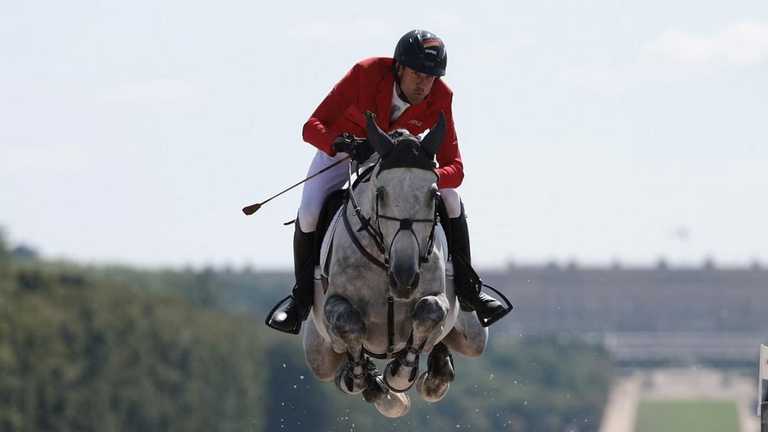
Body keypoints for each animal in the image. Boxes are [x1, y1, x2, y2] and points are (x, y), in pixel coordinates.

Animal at [302, 112, 488, 418]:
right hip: (318, 352)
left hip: (474, 334)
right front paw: (369, 379)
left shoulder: (437, 298)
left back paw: (436, 374)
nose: (404, 279)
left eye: (433, 195)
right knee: (335, 366)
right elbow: (348, 323)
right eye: (380, 193)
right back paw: (372, 386)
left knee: (457, 342)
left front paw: (400, 374)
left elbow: (430, 311)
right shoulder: (334, 304)